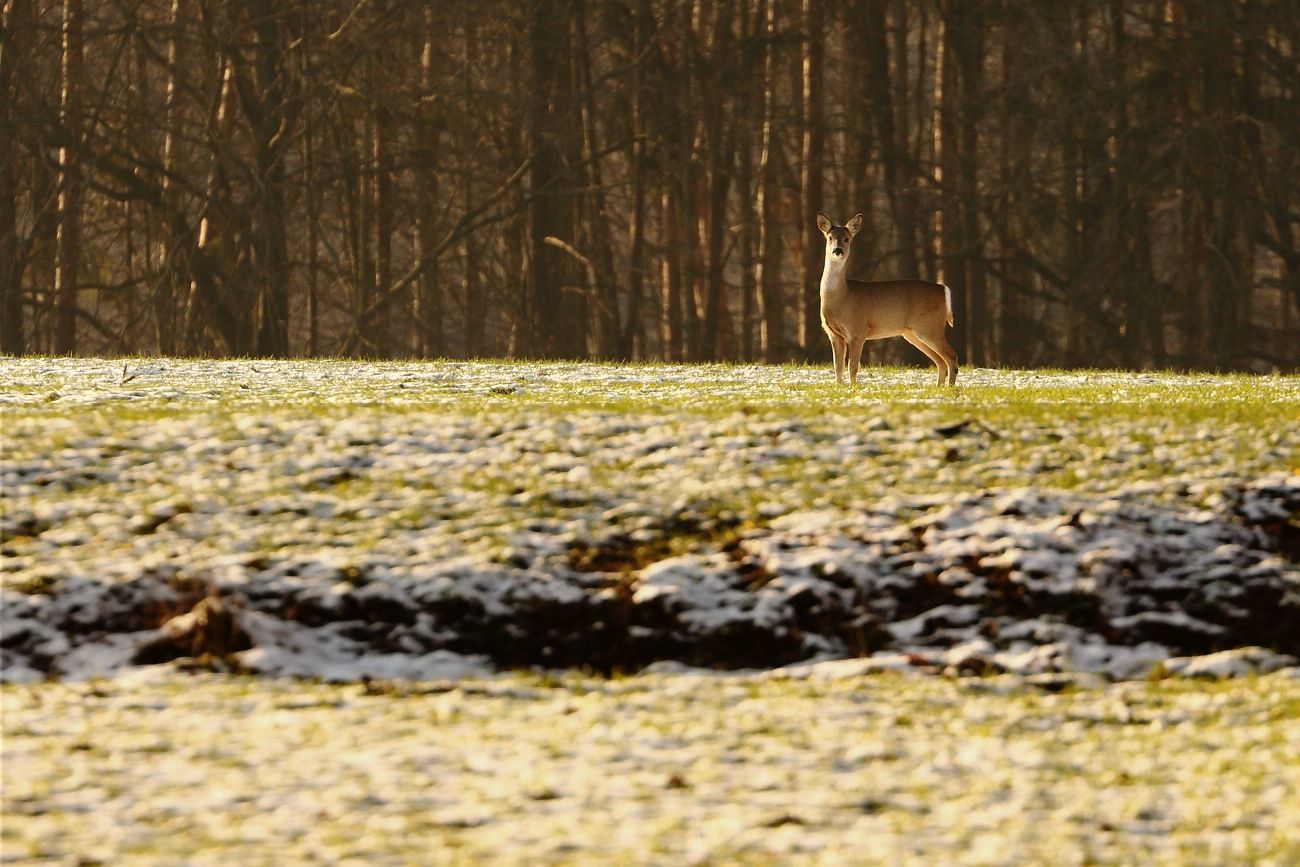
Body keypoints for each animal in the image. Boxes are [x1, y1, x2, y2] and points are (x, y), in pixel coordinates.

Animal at [816, 210, 961, 387]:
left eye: (847, 239)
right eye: (830, 238)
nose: (837, 250)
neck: (841, 297)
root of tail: (944, 290)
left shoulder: (858, 330)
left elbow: (853, 367)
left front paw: (853, 387)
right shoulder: (833, 334)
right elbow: (837, 366)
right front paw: (839, 387)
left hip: (930, 326)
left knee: (951, 357)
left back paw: (949, 388)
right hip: (913, 333)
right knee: (940, 361)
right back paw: (938, 387)